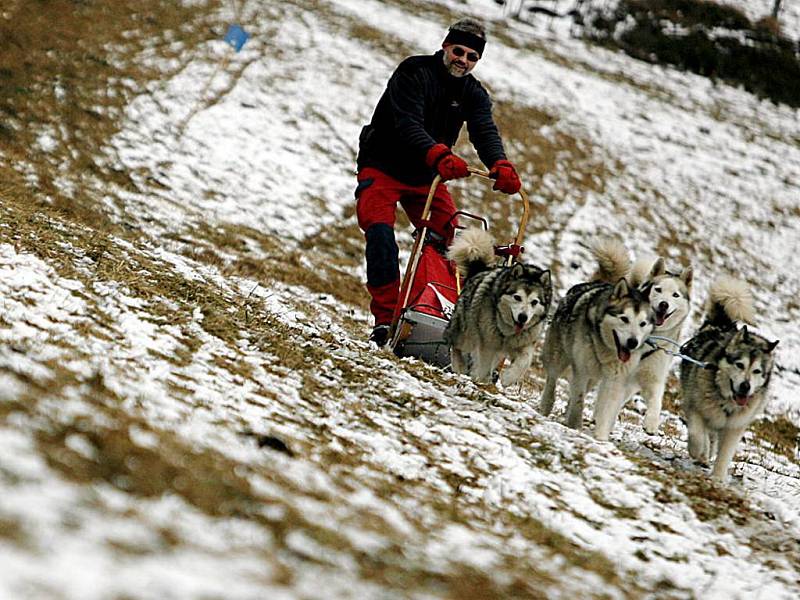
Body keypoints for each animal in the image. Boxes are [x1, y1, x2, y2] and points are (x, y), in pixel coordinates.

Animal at [440, 227, 552, 386]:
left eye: (534, 302)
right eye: (517, 297)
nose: (523, 318)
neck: (508, 332)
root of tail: (478, 271)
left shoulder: (525, 343)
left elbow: (524, 362)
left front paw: (508, 378)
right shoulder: (488, 343)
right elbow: (484, 363)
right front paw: (481, 380)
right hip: (466, 333)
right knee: (455, 345)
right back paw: (460, 366)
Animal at [536, 270, 656, 438]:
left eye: (642, 324)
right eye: (624, 319)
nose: (633, 342)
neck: (605, 348)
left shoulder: (615, 379)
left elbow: (607, 410)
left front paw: (601, 438)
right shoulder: (581, 371)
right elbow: (578, 400)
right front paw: (575, 426)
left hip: (593, 378)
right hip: (558, 358)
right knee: (552, 380)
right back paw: (546, 406)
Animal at [588, 240, 692, 436]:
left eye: (675, 295)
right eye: (658, 290)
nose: (664, 304)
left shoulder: (653, 375)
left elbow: (656, 399)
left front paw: (651, 422)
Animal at [680, 278, 780, 482]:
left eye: (757, 371)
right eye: (739, 365)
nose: (745, 387)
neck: (726, 401)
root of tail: (722, 325)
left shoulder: (735, 426)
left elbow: (725, 453)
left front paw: (718, 478)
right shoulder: (695, 407)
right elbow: (696, 434)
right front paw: (697, 451)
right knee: (706, 435)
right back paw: (703, 453)